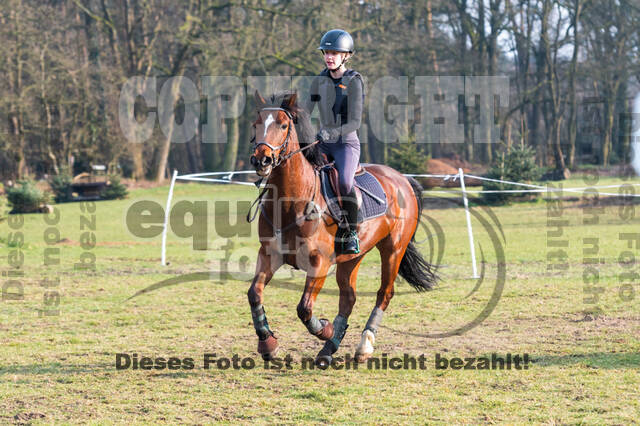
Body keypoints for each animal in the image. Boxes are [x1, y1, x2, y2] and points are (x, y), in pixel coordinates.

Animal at [248, 90, 438, 366]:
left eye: (283, 125)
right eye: (256, 123)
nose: (262, 159)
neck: (290, 202)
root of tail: (402, 178)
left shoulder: (319, 263)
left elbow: (304, 308)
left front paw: (325, 329)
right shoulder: (270, 255)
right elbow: (254, 294)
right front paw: (268, 344)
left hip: (393, 250)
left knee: (384, 294)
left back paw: (363, 346)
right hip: (352, 257)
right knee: (348, 298)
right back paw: (330, 348)